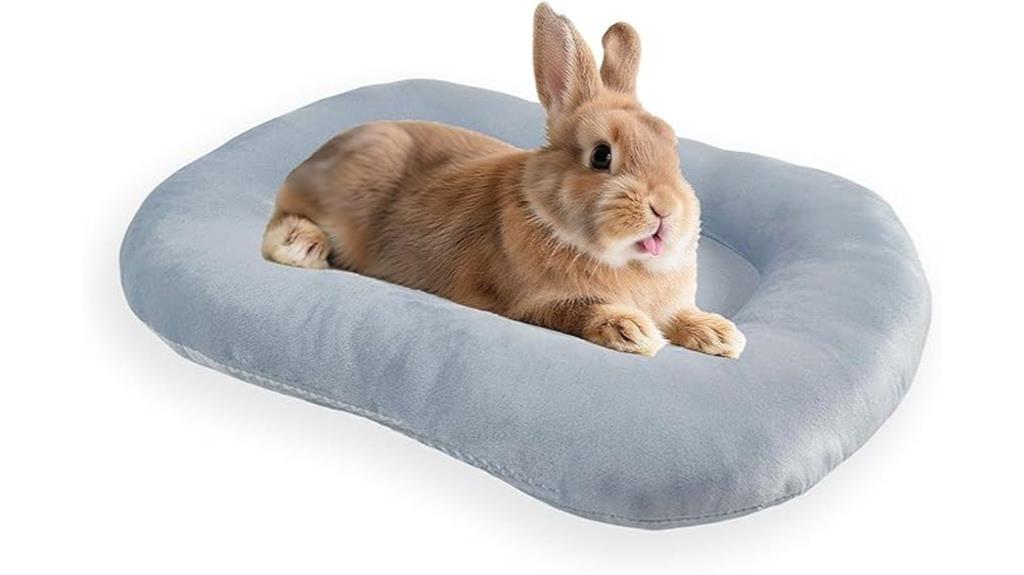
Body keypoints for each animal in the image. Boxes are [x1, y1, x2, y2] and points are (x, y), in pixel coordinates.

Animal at [262, 2, 745, 358]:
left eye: (673, 149)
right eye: (601, 155)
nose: (665, 210)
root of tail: (318, 153)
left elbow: (680, 316)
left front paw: (722, 335)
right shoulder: (532, 302)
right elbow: (580, 310)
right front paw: (632, 330)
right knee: (279, 222)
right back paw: (302, 246)